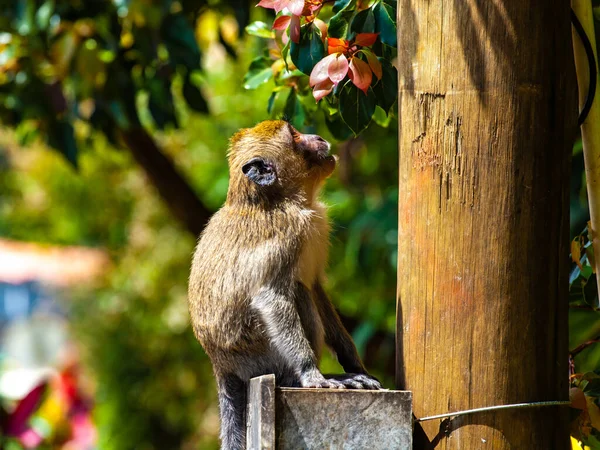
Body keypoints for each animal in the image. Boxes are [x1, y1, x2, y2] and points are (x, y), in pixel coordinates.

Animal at [188, 119, 380, 450]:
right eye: (294, 135)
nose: (317, 136)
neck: (279, 199)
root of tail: (221, 365)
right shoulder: (288, 233)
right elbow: (271, 296)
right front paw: (312, 374)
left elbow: (316, 288)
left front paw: (353, 363)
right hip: (259, 355)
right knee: (296, 294)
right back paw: (306, 377)